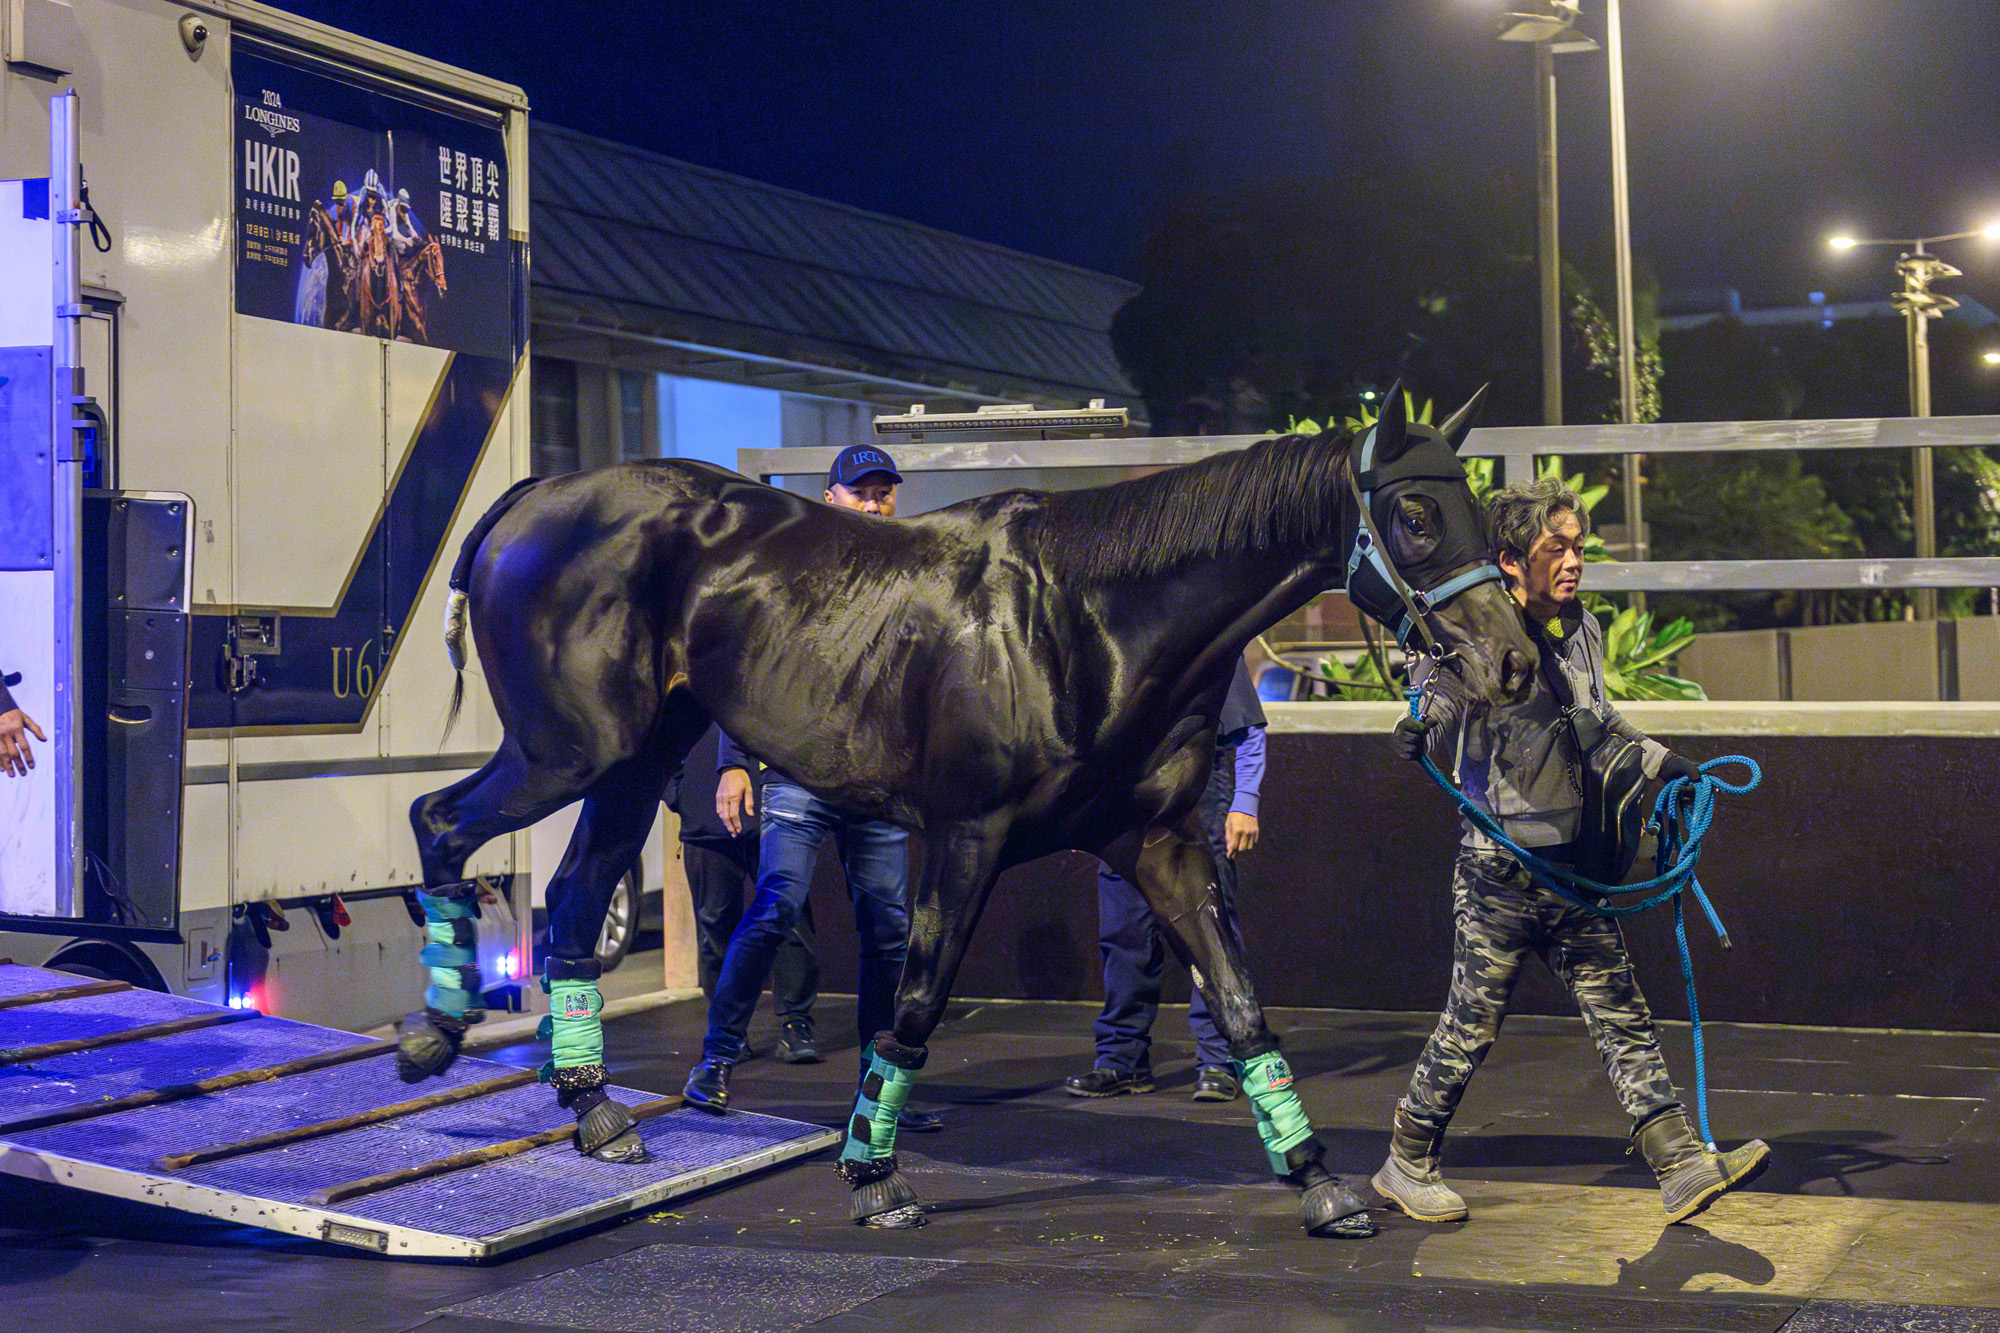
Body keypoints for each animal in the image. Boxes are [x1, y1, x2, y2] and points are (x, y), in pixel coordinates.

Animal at [402, 386, 1528, 1232]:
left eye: (1478, 511)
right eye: (1415, 515)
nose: (1513, 661)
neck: (1087, 619)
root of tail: (540, 494)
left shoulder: (1161, 843)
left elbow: (1242, 1000)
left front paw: (1314, 1174)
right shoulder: (965, 834)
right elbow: (913, 1004)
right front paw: (871, 1171)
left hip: (634, 757)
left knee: (576, 895)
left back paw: (593, 1107)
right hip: (567, 749)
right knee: (440, 818)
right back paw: (437, 1032)